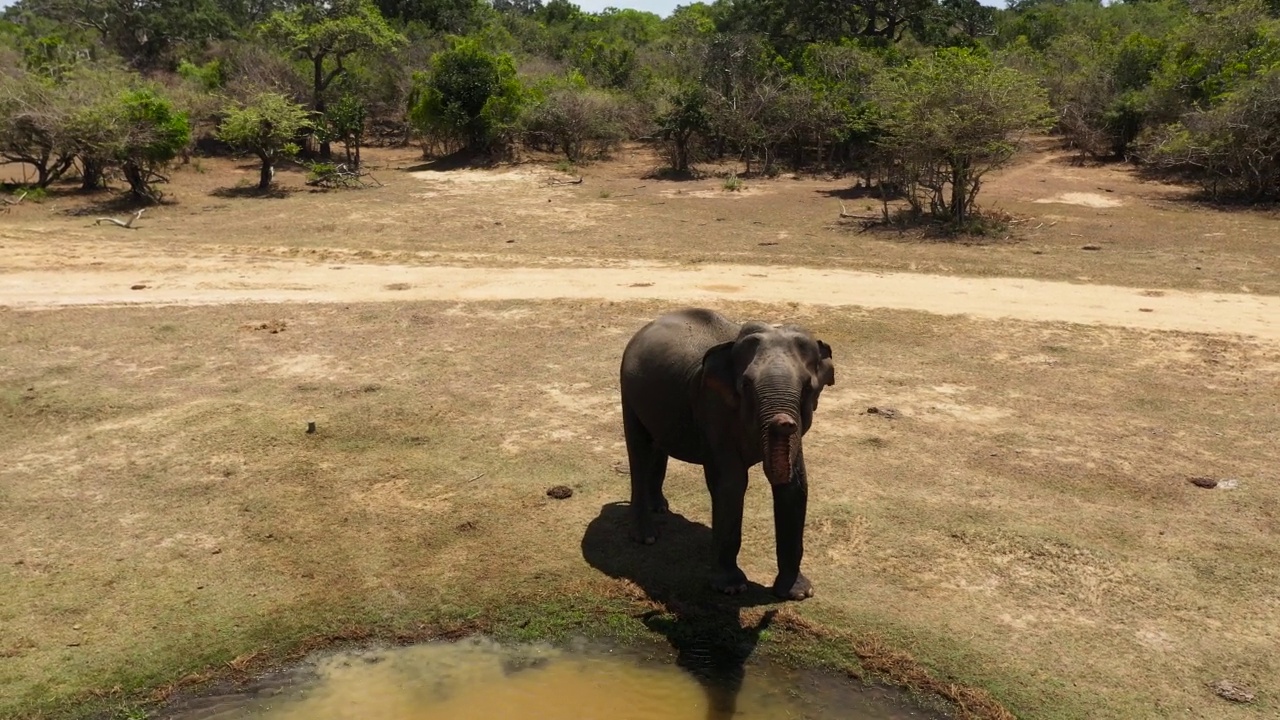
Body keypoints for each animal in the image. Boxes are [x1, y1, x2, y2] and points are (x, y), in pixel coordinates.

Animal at [616, 304, 834, 597]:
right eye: (746, 385)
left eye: (807, 387)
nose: (784, 422)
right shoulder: (713, 408)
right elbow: (730, 483)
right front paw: (731, 588)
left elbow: (796, 485)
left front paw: (797, 593)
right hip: (627, 390)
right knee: (639, 450)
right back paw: (646, 537)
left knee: (657, 446)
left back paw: (660, 507)